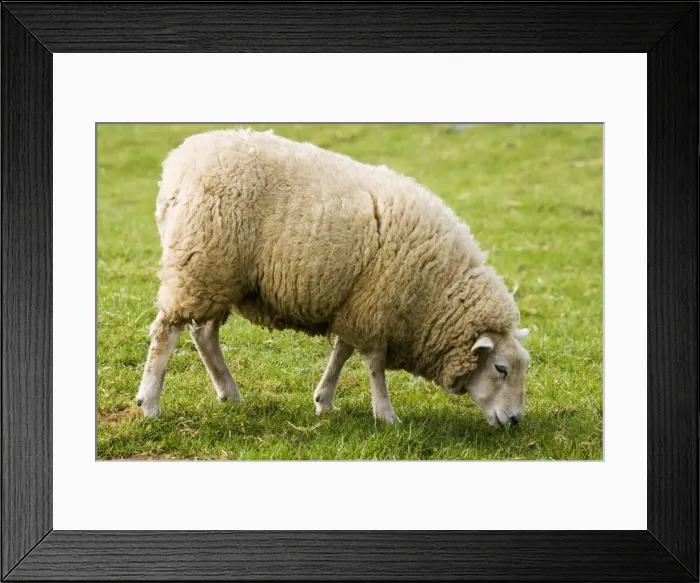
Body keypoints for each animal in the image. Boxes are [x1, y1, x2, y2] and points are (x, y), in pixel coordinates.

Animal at [135, 128, 530, 427]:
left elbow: (343, 351)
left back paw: (229, 393)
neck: (438, 290)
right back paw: (150, 402)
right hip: (199, 263)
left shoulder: (356, 303)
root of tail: (178, 164)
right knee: (167, 331)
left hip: (221, 275)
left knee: (203, 334)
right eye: (501, 368)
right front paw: (386, 414)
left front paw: (324, 400)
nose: (514, 421)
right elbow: (375, 365)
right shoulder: (377, 306)